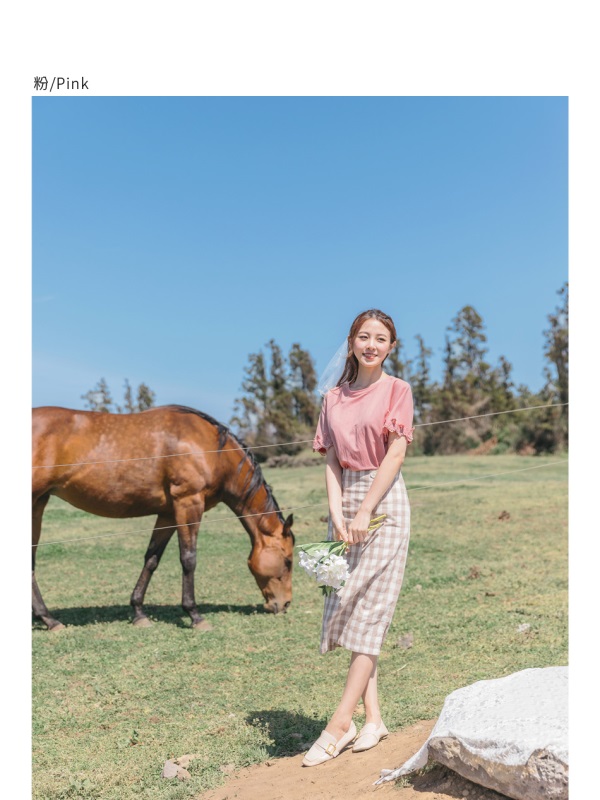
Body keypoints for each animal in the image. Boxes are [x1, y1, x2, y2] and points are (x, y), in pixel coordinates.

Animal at [32, 406, 296, 632]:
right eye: (288, 561)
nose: (285, 604)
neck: (212, 449)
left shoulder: (168, 513)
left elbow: (152, 559)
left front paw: (139, 613)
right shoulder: (188, 504)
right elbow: (188, 559)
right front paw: (194, 615)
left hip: (38, 504)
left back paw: (47, 619)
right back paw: (49, 620)